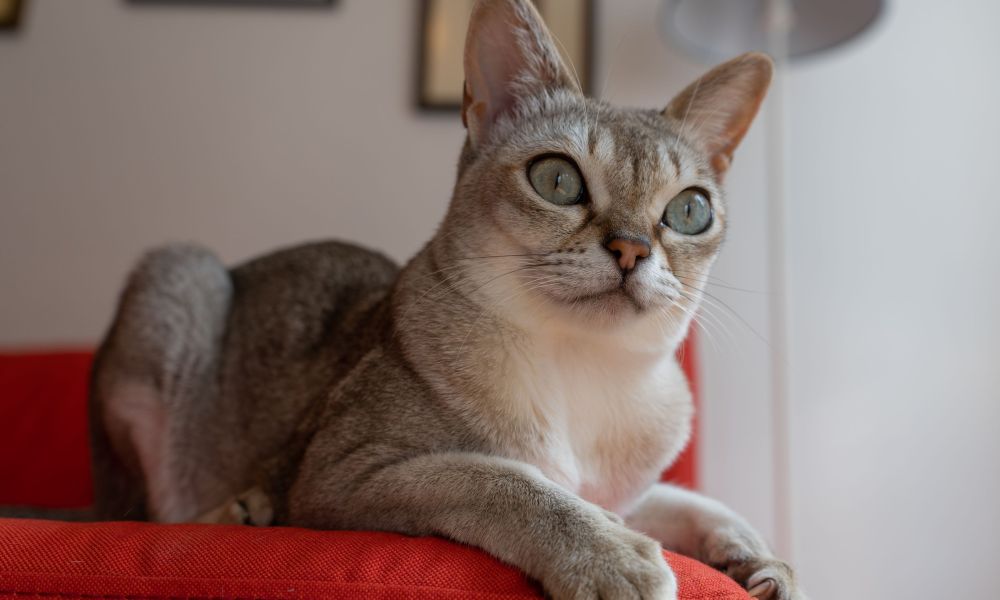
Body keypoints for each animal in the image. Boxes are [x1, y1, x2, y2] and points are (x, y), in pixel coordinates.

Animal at [88, 2, 804, 596]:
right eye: (557, 179)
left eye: (689, 211)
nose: (631, 249)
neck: (581, 375)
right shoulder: (344, 472)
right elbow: (505, 481)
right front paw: (612, 559)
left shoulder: (626, 489)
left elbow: (685, 502)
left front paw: (758, 555)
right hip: (181, 276)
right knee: (151, 512)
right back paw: (239, 511)